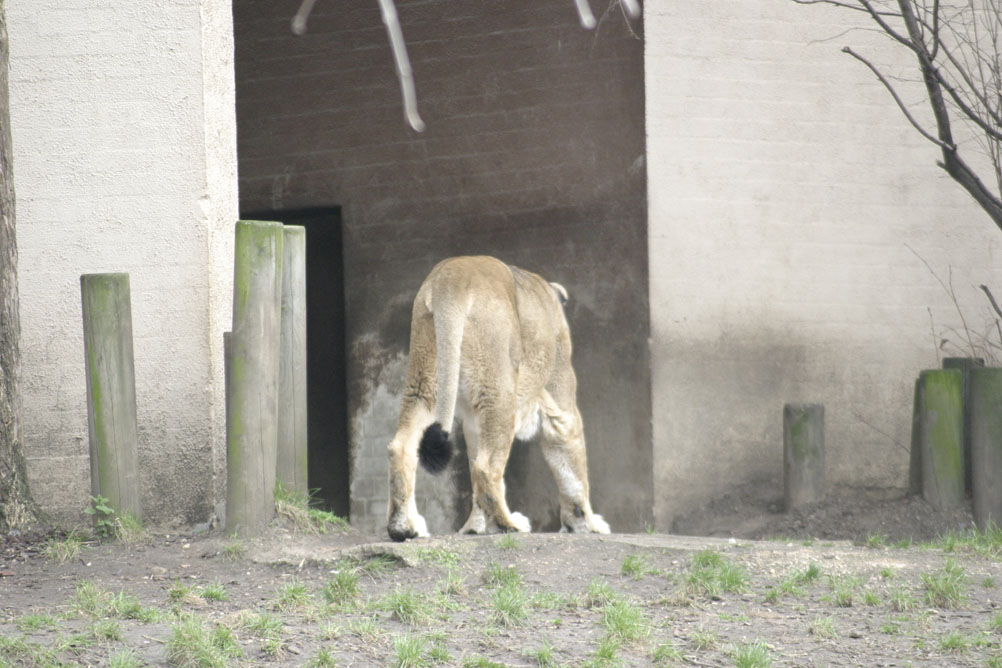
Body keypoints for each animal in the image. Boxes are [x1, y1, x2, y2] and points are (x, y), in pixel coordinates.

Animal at [386, 255, 610, 541]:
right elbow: (573, 471)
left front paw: (476, 527)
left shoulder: (472, 419)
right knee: (487, 467)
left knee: (402, 447)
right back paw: (510, 524)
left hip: (425, 382)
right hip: (500, 391)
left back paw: (404, 527)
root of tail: (452, 275)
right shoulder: (561, 402)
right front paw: (586, 524)